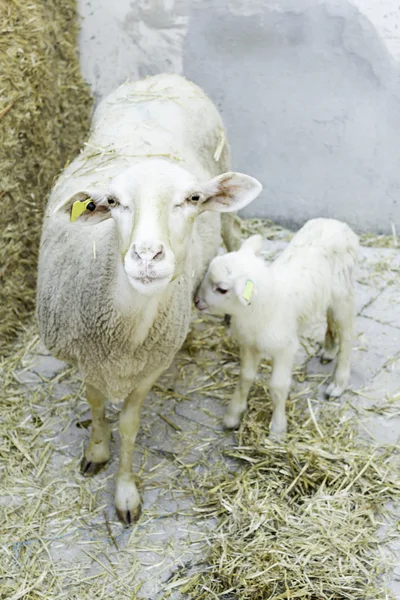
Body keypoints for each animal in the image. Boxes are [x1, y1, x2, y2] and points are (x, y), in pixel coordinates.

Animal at [36, 71, 262, 524]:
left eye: (193, 199)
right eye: (112, 202)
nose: (146, 256)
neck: (125, 329)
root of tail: (162, 77)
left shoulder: (151, 366)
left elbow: (128, 424)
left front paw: (125, 492)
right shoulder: (87, 359)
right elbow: (96, 405)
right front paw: (97, 451)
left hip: (225, 190)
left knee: (233, 237)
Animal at [194, 218, 360, 438]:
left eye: (221, 289)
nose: (196, 300)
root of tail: (337, 223)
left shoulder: (285, 348)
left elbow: (278, 386)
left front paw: (277, 430)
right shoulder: (248, 345)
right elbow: (245, 377)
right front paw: (233, 415)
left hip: (344, 293)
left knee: (347, 334)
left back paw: (338, 383)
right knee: (329, 316)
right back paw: (329, 350)